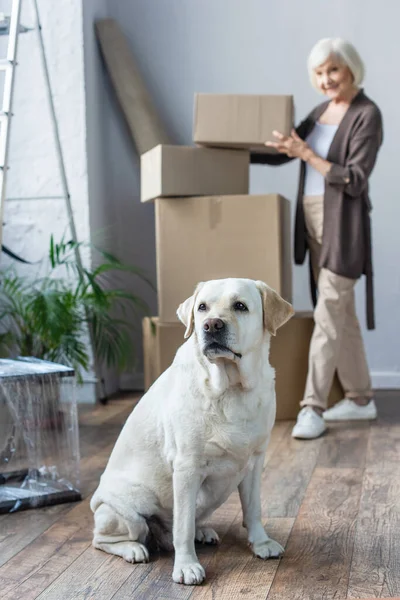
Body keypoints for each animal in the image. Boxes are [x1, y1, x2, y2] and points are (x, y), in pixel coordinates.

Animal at [92, 278, 296, 584]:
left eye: (240, 306)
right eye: (202, 308)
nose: (211, 325)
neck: (230, 388)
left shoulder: (255, 461)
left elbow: (253, 509)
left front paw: (260, 543)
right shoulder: (187, 469)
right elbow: (183, 527)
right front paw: (186, 566)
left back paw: (202, 532)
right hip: (128, 511)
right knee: (103, 539)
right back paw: (133, 549)